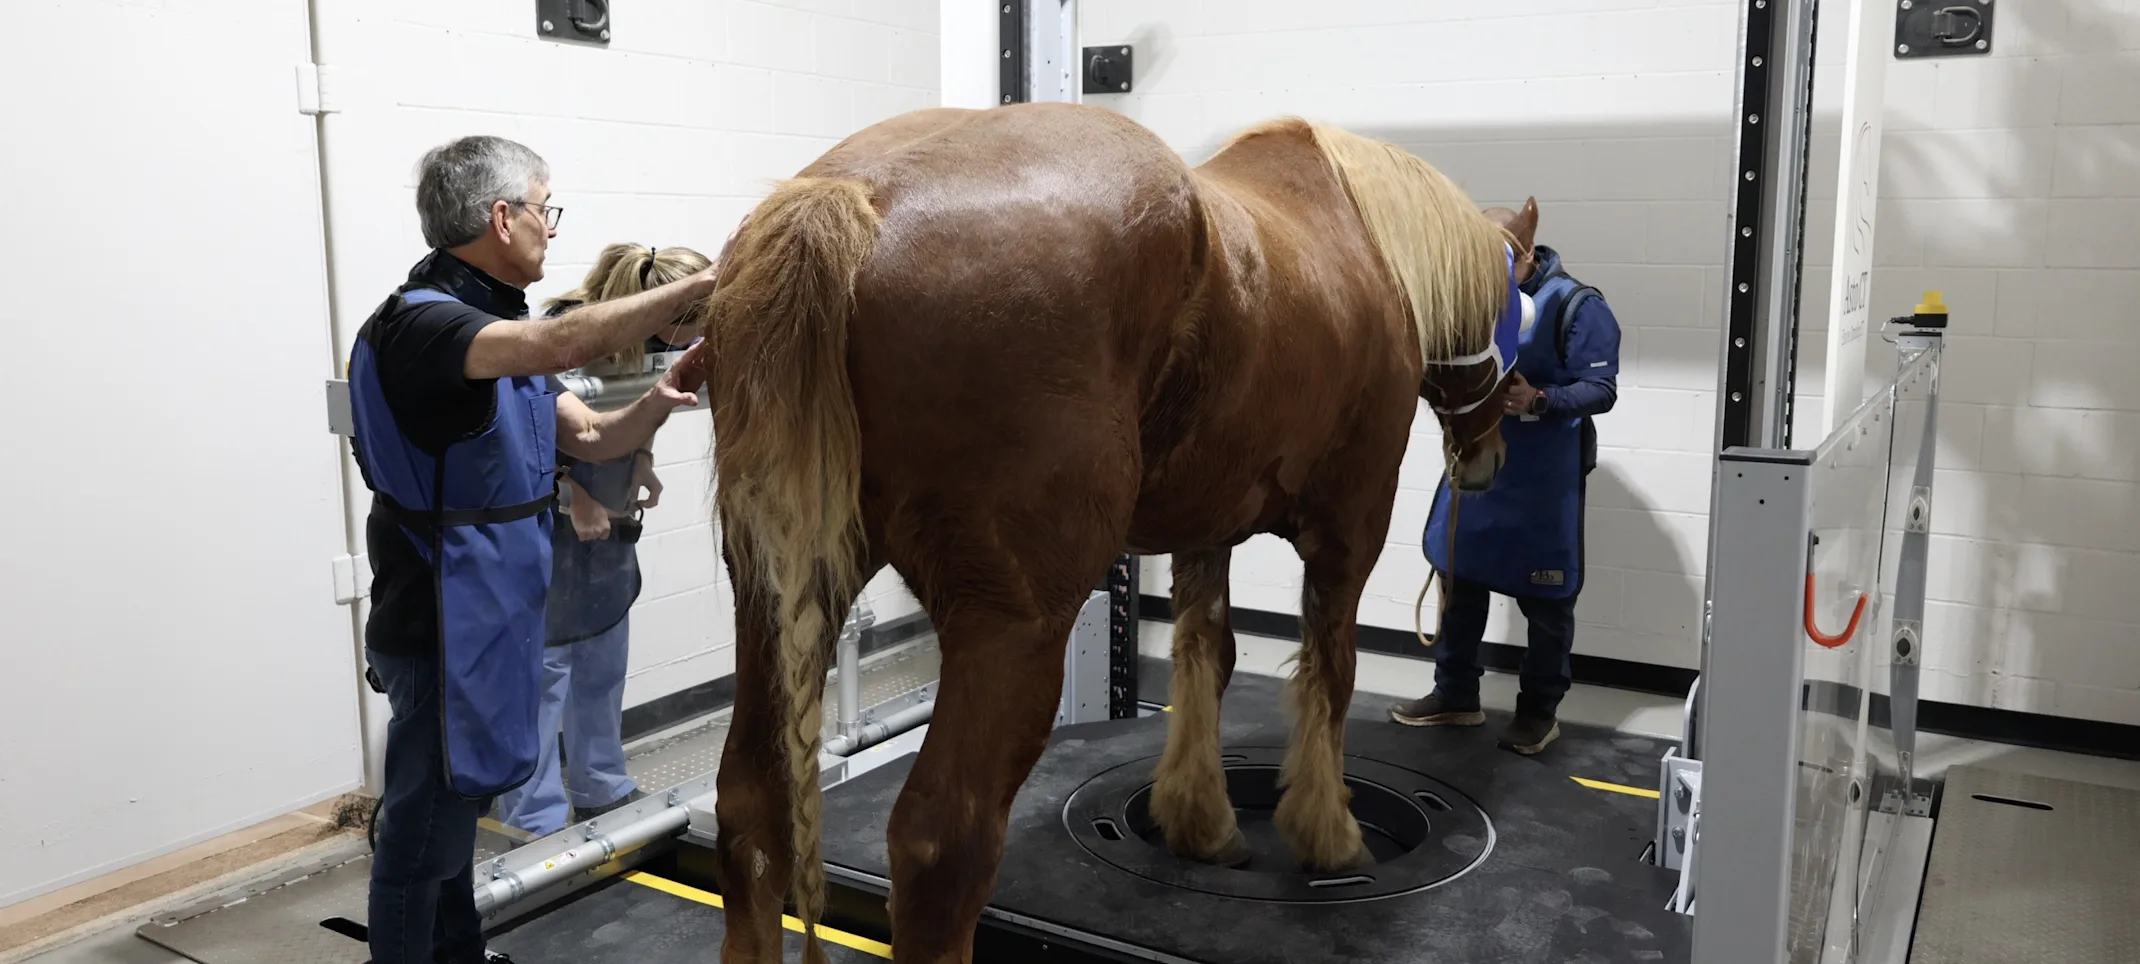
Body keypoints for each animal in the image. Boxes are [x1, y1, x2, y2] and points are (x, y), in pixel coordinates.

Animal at [701, 101, 1519, 964]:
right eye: (1516, 302)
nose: (1491, 457)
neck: (1362, 239)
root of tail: (855, 195)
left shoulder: (1209, 524)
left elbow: (1207, 657)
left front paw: (1201, 823)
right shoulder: (1350, 530)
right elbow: (1330, 674)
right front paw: (1328, 836)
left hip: (778, 596)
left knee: (750, 804)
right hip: (1010, 629)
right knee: (939, 843)